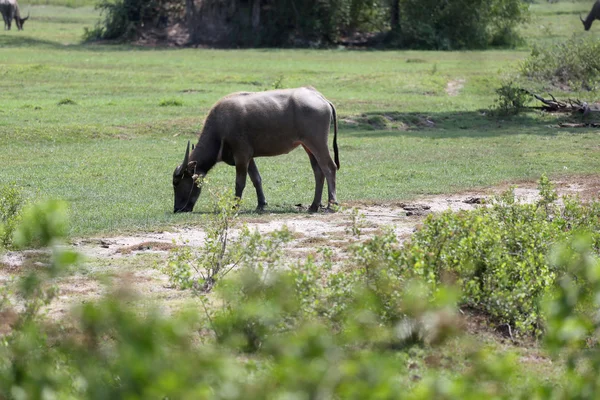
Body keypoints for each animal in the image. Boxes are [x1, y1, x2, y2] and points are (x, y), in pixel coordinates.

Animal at [173, 86, 340, 214]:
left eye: (178, 183)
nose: (178, 209)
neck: (220, 128)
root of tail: (320, 97)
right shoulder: (249, 157)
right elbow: (256, 179)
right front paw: (261, 204)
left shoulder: (241, 156)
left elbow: (240, 182)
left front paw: (235, 206)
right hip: (308, 146)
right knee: (318, 171)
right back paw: (313, 206)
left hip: (317, 143)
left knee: (329, 167)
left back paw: (331, 205)